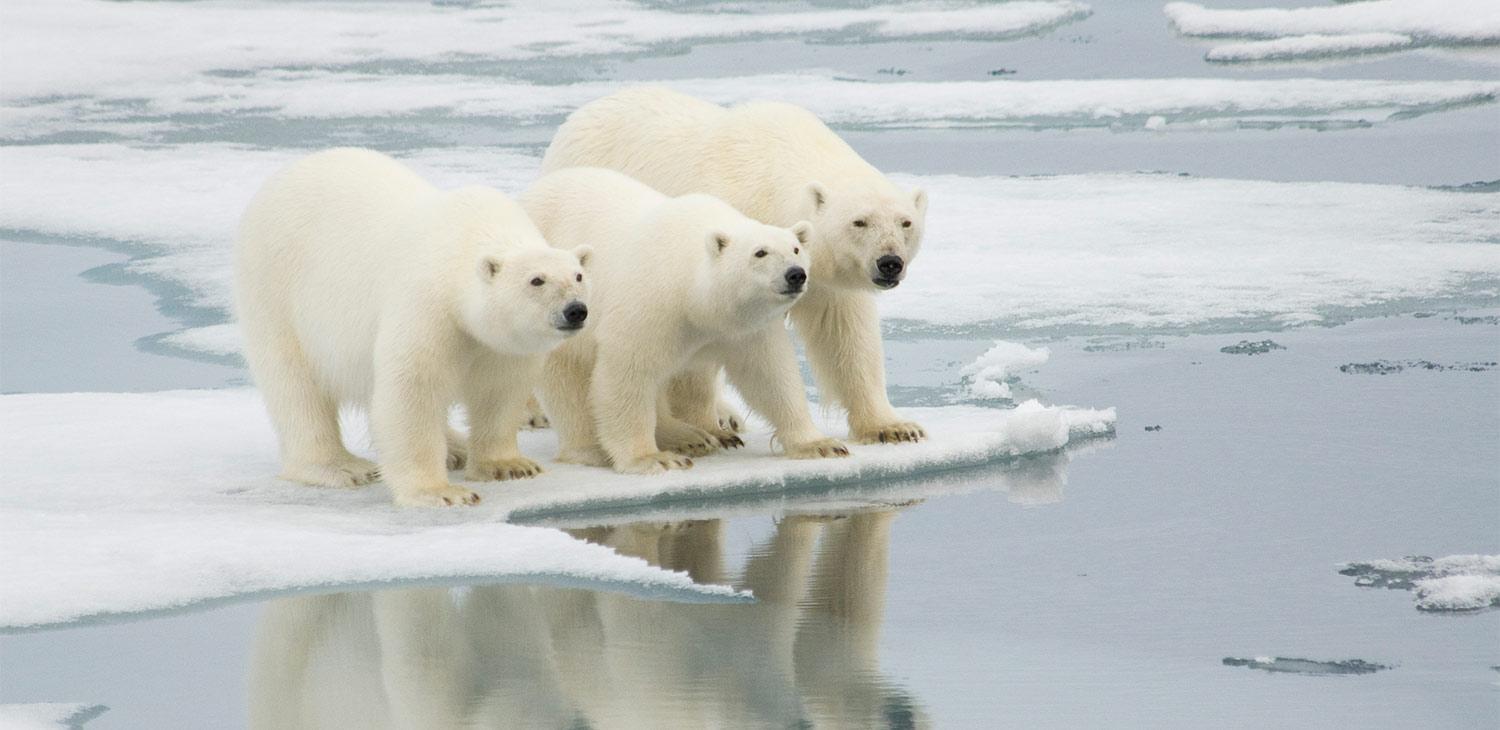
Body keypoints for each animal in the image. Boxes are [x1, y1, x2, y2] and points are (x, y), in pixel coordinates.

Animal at [231, 149, 588, 509]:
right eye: (536, 280)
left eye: (579, 276)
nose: (575, 311)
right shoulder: (427, 305)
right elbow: (413, 389)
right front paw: (442, 492)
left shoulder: (501, 344)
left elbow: (500, 389)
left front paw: (510, 466)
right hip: (275, 290)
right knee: (295, 386)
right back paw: (342, 467)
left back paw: (455, 447)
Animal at [519, 167, 852, 473]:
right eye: (760, 253)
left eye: (796, 249)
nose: (796, 274)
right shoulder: (651, 307)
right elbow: (628, 375)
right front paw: (651, 458)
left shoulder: (745, 326)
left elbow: (769, 374)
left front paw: (820, 444)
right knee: (566, 377)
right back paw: (591, 448)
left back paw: (696, 435)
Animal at [540, 82, 924, 443]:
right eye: (859, 221)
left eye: (905, 222)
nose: (889, 262)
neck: (770, 178)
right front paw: (706, 425)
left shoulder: (823, 276)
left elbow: (844, 334)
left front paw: (892, 426)